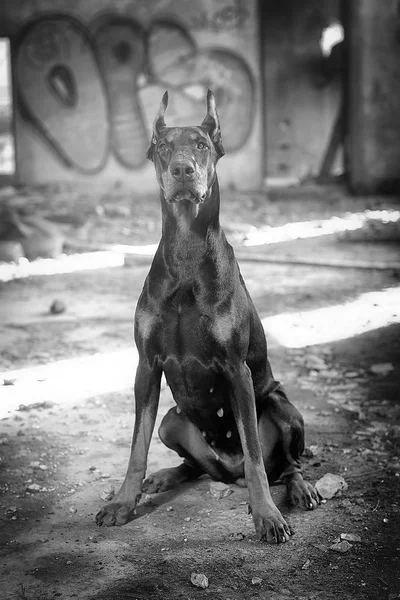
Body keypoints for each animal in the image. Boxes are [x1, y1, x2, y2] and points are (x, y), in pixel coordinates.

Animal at [97, 90, 318, 544]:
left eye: (201, 144)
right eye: (164, 147)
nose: (182, 169)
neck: (186, 252)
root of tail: (227, 472)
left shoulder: (237, 370)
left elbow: (254, 454)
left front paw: (266, 515)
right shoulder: (146, 366)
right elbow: (136, 447)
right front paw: (123, 502)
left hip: (282, 407)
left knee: (285, 465)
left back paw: (299, 489)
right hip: (172, 420)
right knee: (196, 465)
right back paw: (167, 475)